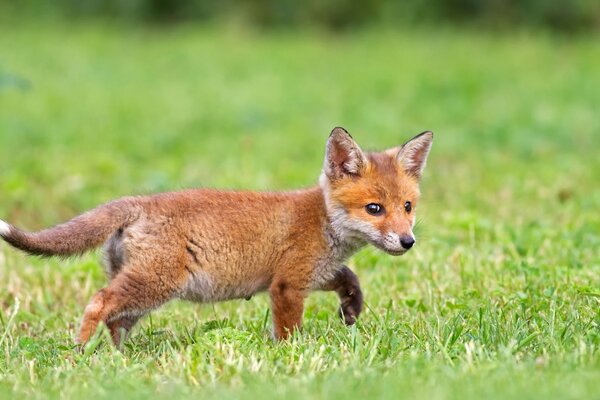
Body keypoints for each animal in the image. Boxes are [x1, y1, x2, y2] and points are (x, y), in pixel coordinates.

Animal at [0, 126, 432, 346]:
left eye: (407, 207)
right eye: (374, 209)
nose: (407, 242)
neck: (322, 220)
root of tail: (137, 201)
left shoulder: (313, 272)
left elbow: (349, 279)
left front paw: (351, 310)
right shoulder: (288, 284)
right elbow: (288, 332)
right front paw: (290, 359)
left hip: (143, 292)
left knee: (116, 320)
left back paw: (119, 359)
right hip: (155, 283)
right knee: (98, 303)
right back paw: (81, 353)